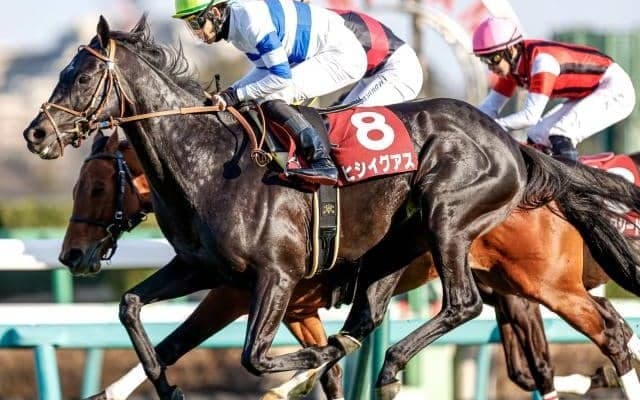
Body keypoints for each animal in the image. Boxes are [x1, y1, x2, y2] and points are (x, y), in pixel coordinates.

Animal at [23, 16, 640, 400]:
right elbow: (135, 312)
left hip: (469, 233)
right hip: (420, 254)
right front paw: (165, 385)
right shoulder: (207, 270)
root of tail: (514, 147)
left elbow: (254, 358)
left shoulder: (269, 281)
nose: (35, 135)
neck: (207, 162)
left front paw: (309, 366)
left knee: (501, 313)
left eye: (81, 75)